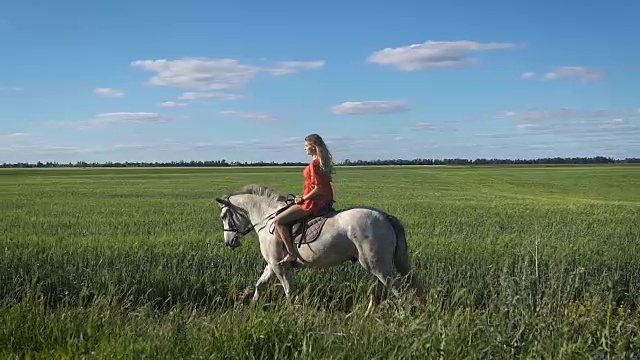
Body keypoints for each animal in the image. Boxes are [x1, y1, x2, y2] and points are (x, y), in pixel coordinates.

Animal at [215, 184, 424, 314]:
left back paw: (403, 316)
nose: (229, 242)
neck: (268, 218)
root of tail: (385, 217)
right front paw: (252, 306)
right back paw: (368, 315)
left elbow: (289, 291)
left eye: (224, 215)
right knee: (379, 291)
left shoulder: (278, 266)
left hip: (378, 266)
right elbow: (261, 285)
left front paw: (292, 313)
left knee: (398, 289)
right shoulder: (273, 264)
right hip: (374, 266)